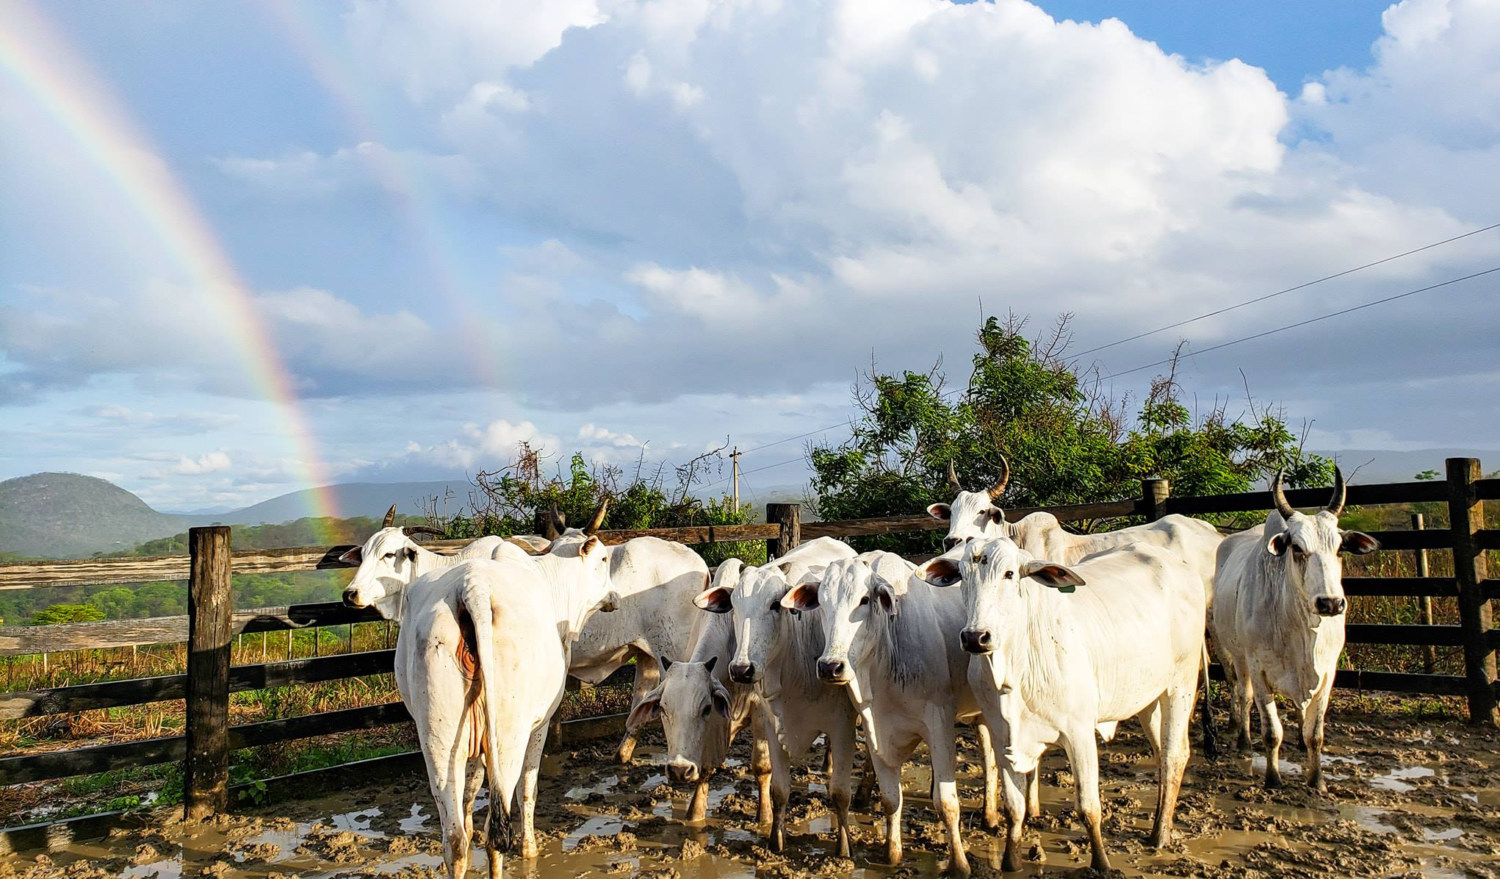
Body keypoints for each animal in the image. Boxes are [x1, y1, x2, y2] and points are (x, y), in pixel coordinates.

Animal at [396, 540, 618, 876]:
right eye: (604, 559)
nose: (614, 595)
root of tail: (472, 586)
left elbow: (471, 789)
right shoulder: (540, 724)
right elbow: (528, 788)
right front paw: (529, 848)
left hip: (438, 736)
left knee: (454, 839)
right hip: (509, 733)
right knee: (495, 833)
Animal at [690, 537, 858, 852]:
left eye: (774, 605)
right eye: (733, 606)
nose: (742, 669)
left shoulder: (840, 725)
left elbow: (839, 792)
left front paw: (844, 849)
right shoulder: (770, 721)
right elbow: (778, 787)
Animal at [786, 546, 996, 870]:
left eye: (863, 600)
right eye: (822, 603)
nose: (830, 666)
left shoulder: (939, 723)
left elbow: (947, 803)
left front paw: (960, 864)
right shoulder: (874, 727)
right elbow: (890, 799)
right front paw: (892, 853)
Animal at [912, 534, 1206, 870]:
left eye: (1009, 574)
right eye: (962, 576)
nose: (975, 637)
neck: (1016, 665)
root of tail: (1175, 563)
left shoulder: (1079, 733)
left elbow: (1088, 807)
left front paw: (1102, 864)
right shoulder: (1003, 736)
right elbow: (1014, 805)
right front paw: (1011, 861)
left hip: (1180, 684)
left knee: (1173, 755)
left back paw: (1159, 834)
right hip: (1149, 696)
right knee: (1160, 752)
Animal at [1212, 468, 1374, 792]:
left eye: (1339, 547)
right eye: (1297, 548)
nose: (1330, 603)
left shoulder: (1327, 672)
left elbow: (1316, 733)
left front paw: (1317, 780)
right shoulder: (1258, 668)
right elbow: (1272, 731)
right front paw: (1272, 778)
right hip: (1234, 654)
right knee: (1242, 694)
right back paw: (1243, 740)